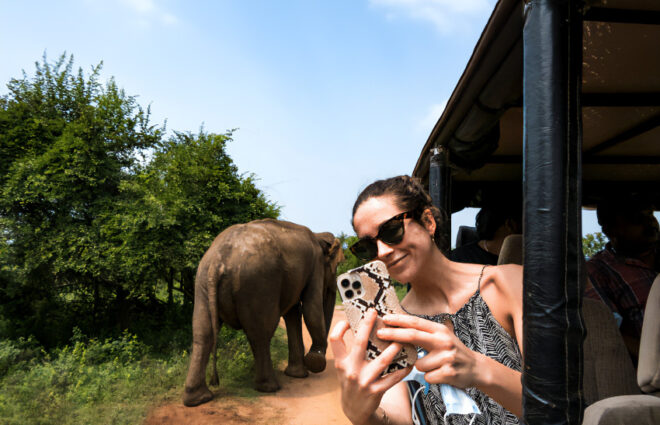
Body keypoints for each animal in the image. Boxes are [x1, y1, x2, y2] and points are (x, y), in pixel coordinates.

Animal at [182, 217, 342, 406]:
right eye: (338, 265)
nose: (317, 355)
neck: (318, 236)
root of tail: (217, 261)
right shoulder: (315, 267)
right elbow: (311, 308)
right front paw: (313, 363)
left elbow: (293, 312)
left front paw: (298, 374)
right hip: (257, 283)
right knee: (261, 334)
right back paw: (270, 387)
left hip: (202, 282)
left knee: (203, 334)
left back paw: (198, 398)